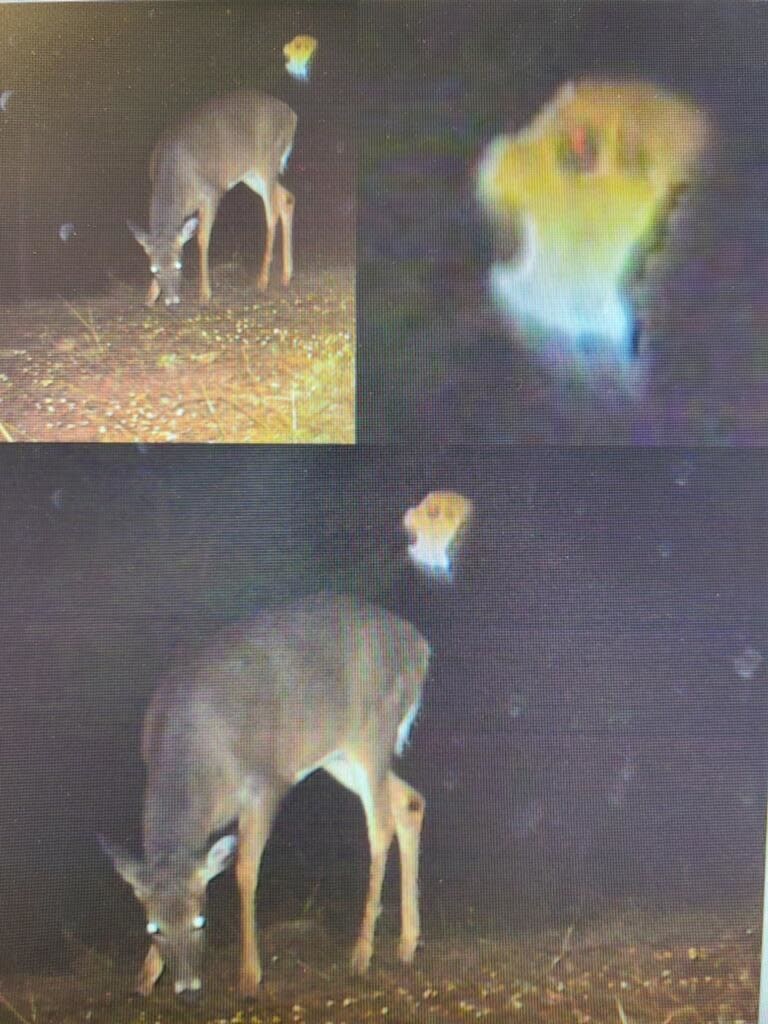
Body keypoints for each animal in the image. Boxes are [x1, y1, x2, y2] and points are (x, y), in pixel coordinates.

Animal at [99, 593, 430, 999]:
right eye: (153, 928)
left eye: (200, 921)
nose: (189, 988)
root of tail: (419, 646)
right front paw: (145, 978)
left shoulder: (265, 783)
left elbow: (244, 869)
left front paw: (249, 975)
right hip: (336, 756)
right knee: (410, 801)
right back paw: (406, 945)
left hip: (371, 734)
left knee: (381, 826)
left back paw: (361, 954)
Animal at [129, 90, 296, 307]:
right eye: (154, 270)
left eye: (179, 265)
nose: (172, 301)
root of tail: (292, 115)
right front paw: (150, 297)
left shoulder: (211, 192)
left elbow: (201, 237)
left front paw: (205, 294)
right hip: (251, 174)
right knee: (287, 198)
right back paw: (286, 275)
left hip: (267, 162)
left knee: (273, 212)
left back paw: (263, 280)